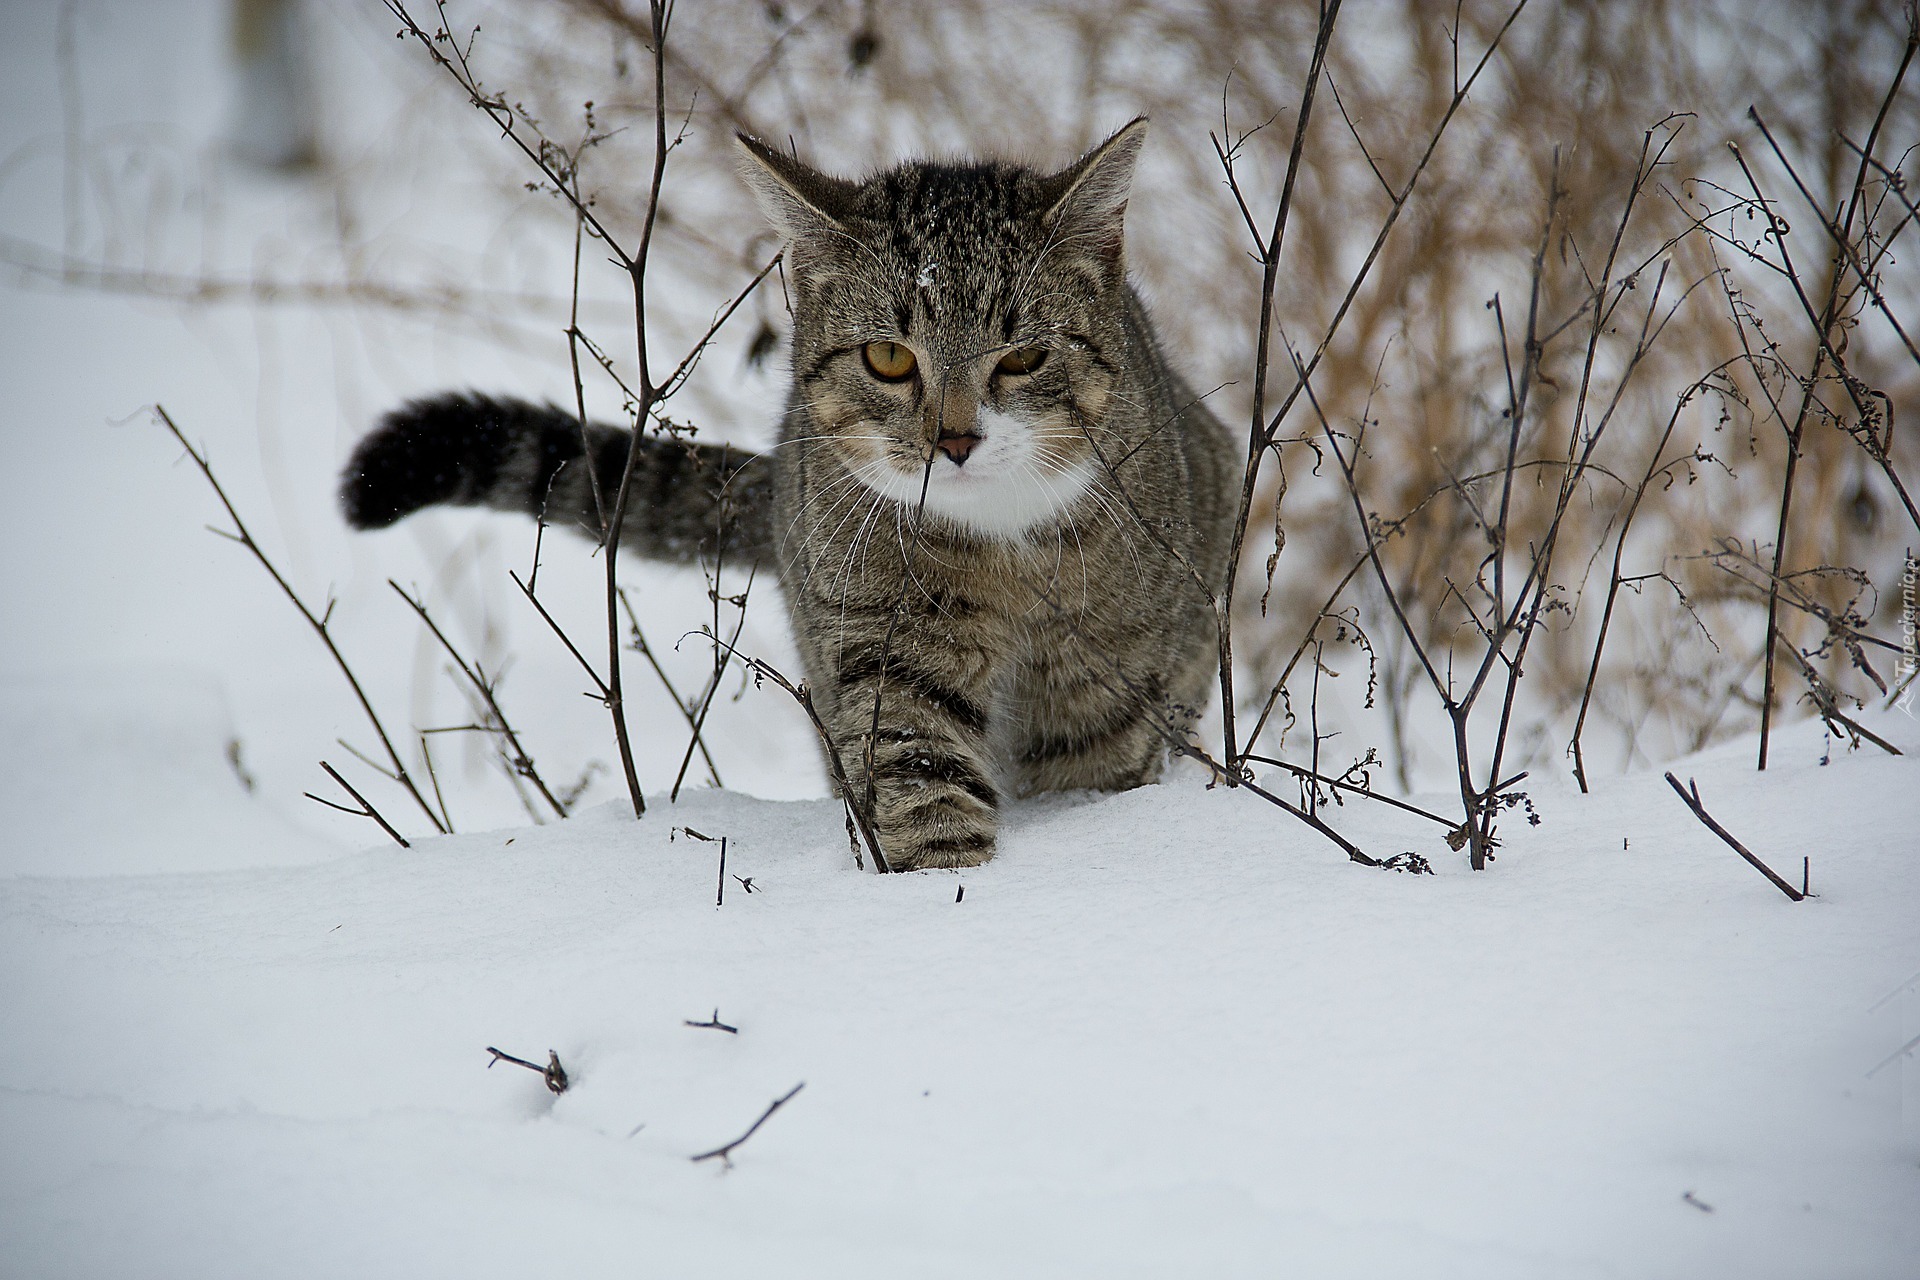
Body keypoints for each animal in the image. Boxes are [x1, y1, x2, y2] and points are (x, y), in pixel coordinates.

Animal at [345, 119, 1236, 871]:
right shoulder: (881, 641)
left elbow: (1092, 768)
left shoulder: (1107, 672)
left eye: (1023, 358)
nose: (953, 441)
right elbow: (920, 775)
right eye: (887, 357)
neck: (999, 546)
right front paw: (945, 888)